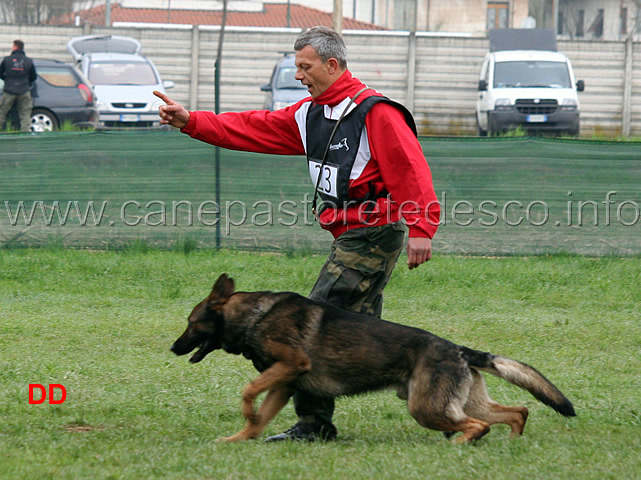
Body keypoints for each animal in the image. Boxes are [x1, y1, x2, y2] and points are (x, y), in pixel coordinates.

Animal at [170, 274, 576, 442]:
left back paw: (459, 444)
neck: (254, 314)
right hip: (461, 402)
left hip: (425, 407)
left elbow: (248, 390)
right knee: (516, 412)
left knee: (479, 425)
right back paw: (510, 441)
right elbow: (258, 418)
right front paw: (239, 438)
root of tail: (459, 350)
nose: (173, 348)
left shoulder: (290, 366)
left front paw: (247, 413)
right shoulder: (283, 384)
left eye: (191, 323)